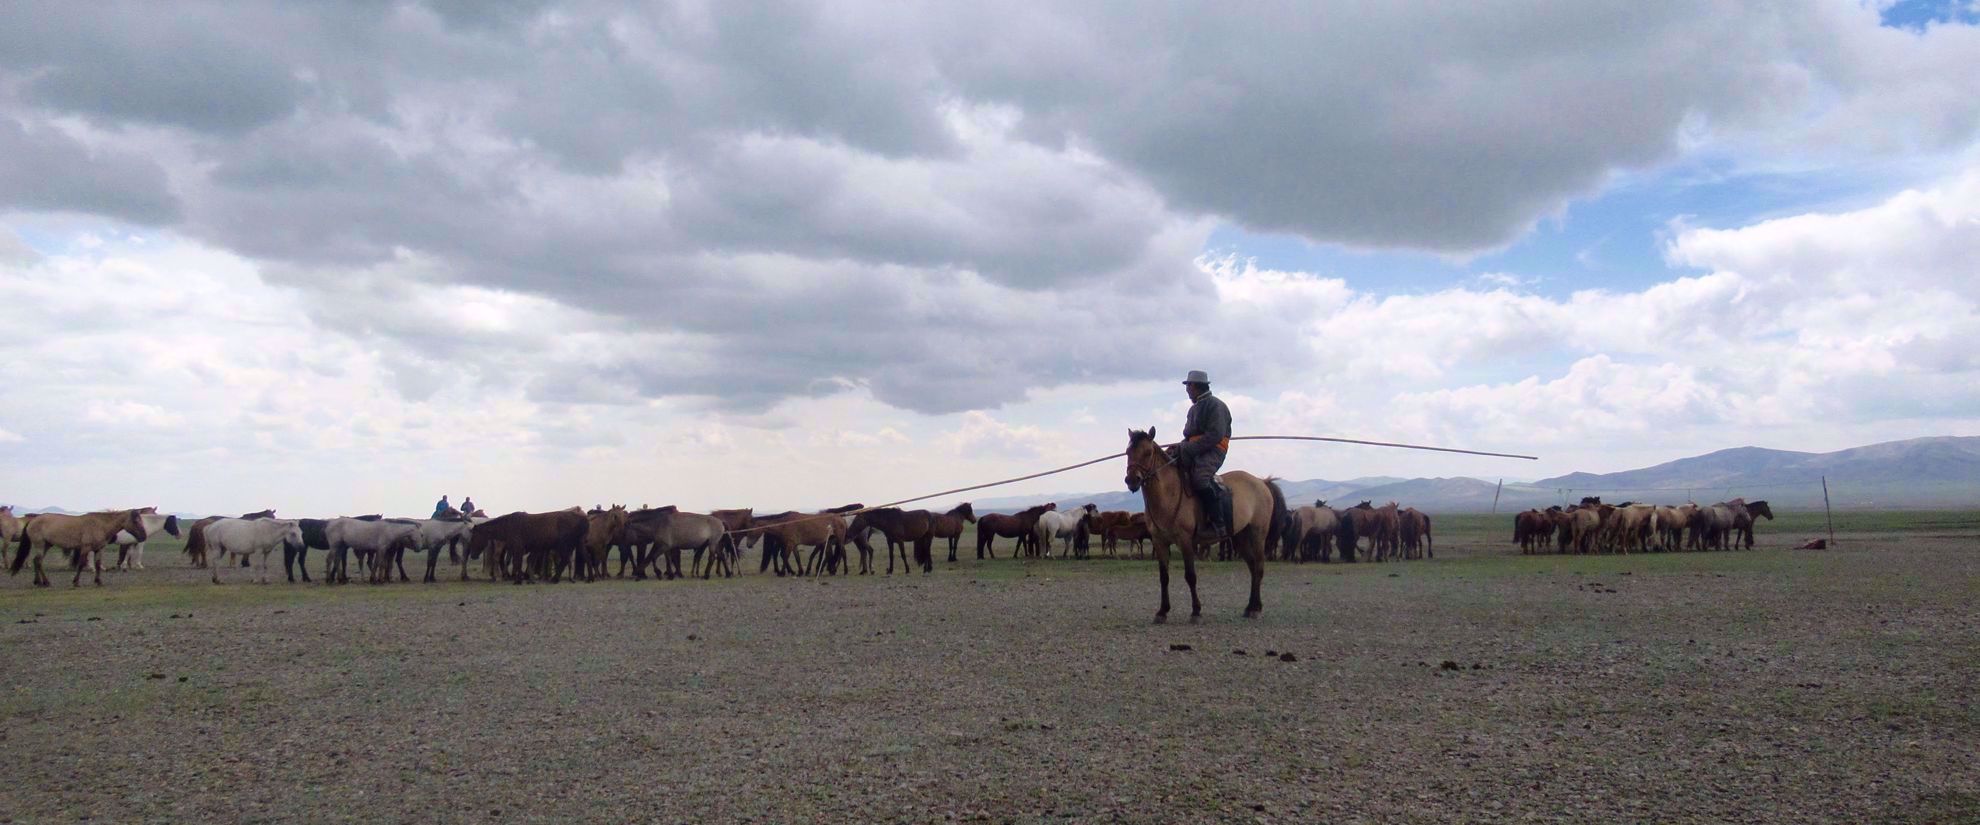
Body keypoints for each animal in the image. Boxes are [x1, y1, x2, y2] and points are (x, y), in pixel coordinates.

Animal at [11, 509, 149, 587]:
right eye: (136, 521)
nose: (143, 536)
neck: (100, 525)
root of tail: (32, 521)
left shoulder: (99, 549)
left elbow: (98, 564)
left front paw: (98, 581)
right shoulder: (85, 548)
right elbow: (81, 564)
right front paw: (76, 582)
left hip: (46, 545)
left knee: (36, 561)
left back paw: (38, 582)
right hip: (40, 545)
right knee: (39, 561)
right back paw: (45, 582)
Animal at [1123, 428, 1286, 623]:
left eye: (1148, 453)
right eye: (1128, 452)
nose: (1132, 480)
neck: (1169, 493)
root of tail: (1261, 482)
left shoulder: (1185, 541)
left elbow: (1190, 576)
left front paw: (1196, 611)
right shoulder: (1159, 541)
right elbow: (1164, 577)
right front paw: (1162, 611)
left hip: (1258, 534)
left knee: (1259, 567)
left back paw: (1256, 609)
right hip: (1241, 538)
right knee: (1253, 567)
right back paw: (1251, 607)